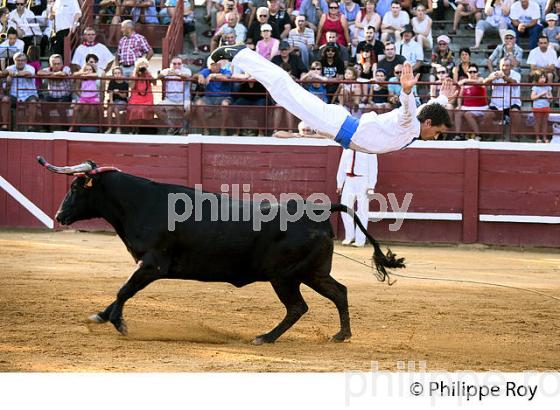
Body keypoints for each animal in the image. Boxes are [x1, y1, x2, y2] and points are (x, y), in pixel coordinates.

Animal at [37, 155, 404, 344]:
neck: (140, 203)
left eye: (76, 187)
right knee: (339, 292)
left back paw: (266, 338)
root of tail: (320, 210)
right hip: (311, 273)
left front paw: (118, 323)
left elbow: (124, 289)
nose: (59, 215)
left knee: (299, 307)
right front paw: (100, 316)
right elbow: (121, 291)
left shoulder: (153, 265)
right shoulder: (148, 267)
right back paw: (340, 335)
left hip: (284, 276)